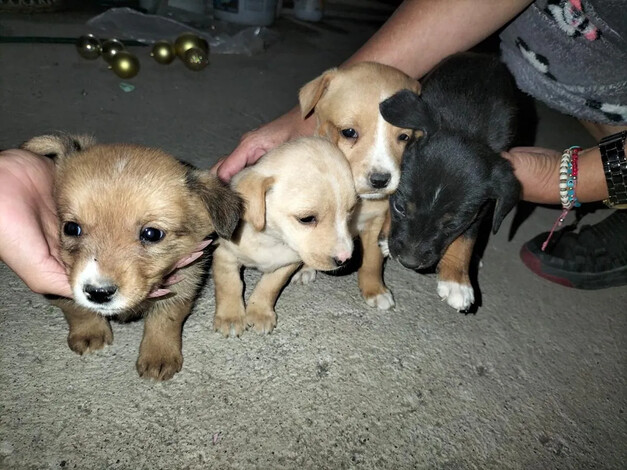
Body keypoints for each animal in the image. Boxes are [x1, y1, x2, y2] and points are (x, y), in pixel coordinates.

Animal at [22, 133, 243, 382]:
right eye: (71, 228)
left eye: (152, 234)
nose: (98, 293)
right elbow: (76, 308)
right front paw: (90, 332)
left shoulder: (182, 284)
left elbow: (164, 320)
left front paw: (158, 357)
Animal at [212, 137, 356, 338]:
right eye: (307, 219)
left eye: (350, 211)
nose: (346, 259)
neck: (270, 240)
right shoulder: (225, 253)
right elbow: (229, 284)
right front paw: (230, 317)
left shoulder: (287, 263)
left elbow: (269, 287)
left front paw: (260, 312)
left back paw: (306, 270)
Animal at [298, 62, 422, 312]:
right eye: (348, 132)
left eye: (404, 137)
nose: (380, 180)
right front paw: (306, 268)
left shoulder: (374, 224)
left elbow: (372, 261)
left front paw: (375, 290)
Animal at [380, 52, 524, 312]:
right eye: (400, 208)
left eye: (452, 224)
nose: (408, 262)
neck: (465, 125)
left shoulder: (481, 208)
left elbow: (467, 237)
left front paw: (457, 280)